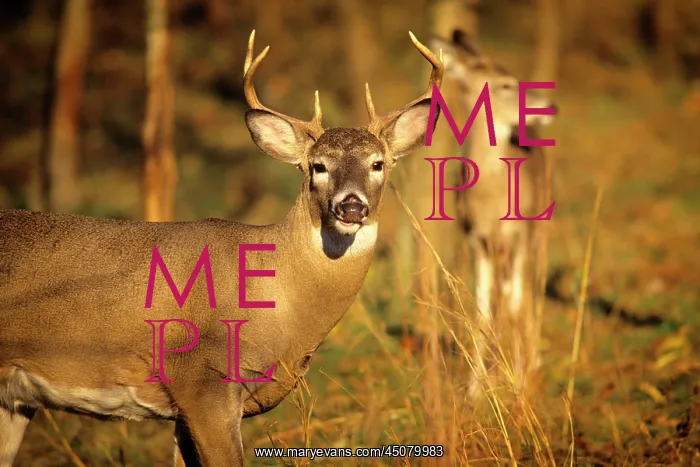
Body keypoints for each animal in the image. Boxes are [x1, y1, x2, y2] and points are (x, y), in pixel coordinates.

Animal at [429, 29, 557, 396]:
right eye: (505, 84)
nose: (549, 106)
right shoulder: (477, 239)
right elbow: (483, 311)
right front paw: (475, 389)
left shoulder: (519, 234)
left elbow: (516, 305)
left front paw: (521, 385)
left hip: (539, 231)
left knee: (529, 291)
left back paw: (533, 361)